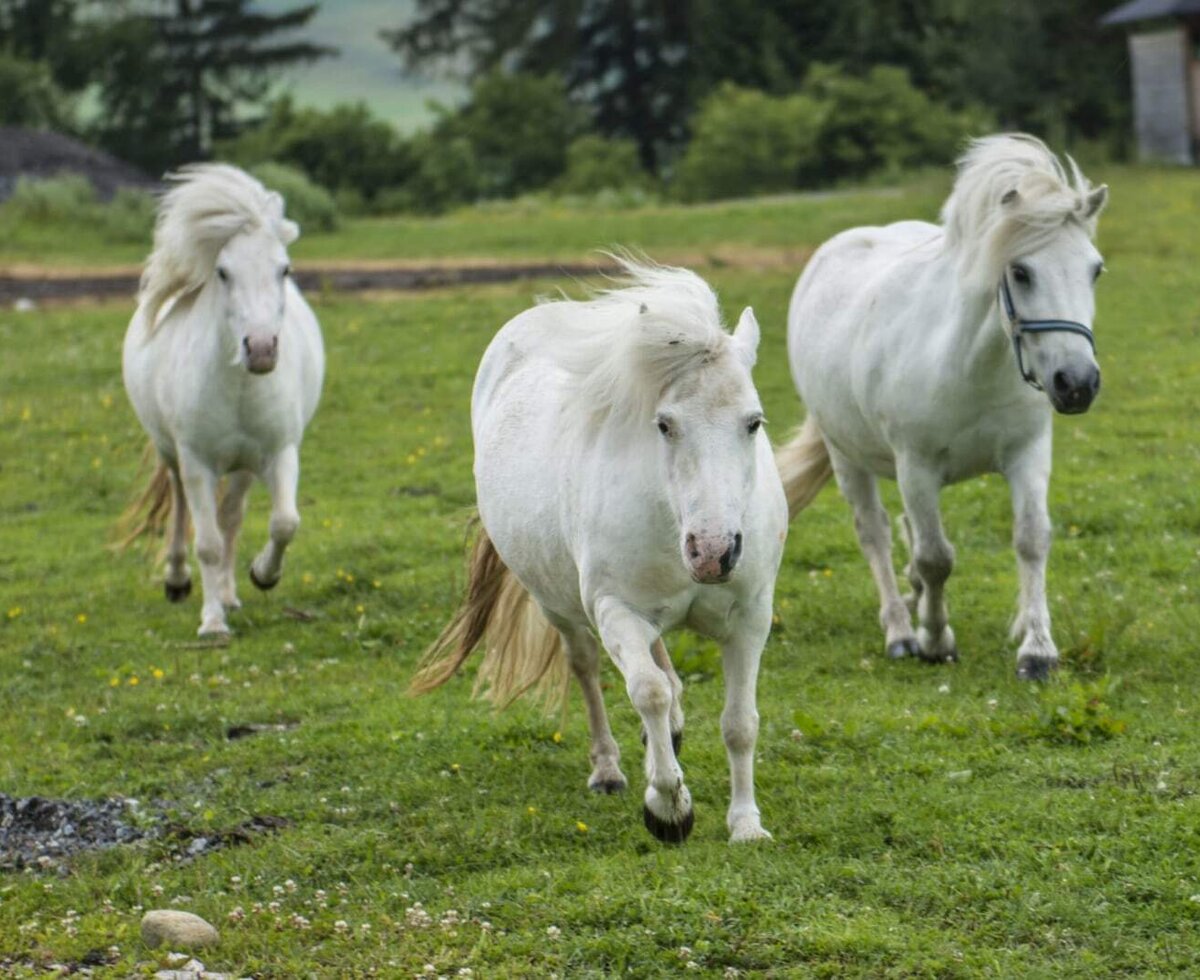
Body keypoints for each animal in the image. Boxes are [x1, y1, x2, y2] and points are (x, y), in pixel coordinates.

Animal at [121, 164, 324, 637]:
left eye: (284, 269)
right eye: (223, 272)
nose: (262, 349)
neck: (239, 387)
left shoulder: (280, 452)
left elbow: (284, 523)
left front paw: (262, 575)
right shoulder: (196, 462)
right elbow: (208, 543)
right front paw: (212, 623)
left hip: (244, 466)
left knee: (232, 516)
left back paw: (231, 594)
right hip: (172, 455)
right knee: (181, 509)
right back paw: (179, 581)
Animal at [413, 259, 787, 843]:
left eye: (753, 422)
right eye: (664, 424)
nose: (713, 552)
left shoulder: (750, 617)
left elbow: (739, 723)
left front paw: (746, 824)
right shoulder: (616, 610)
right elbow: (647, 692)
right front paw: (668, 810)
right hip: (558, 605)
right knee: (589, 667)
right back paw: (609, 769)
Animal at [776, 134, 1108, 681]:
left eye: (1095, 270)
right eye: (1021, 271)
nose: (1077, 383)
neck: (969, 363)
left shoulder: (1028, 454)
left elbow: (1031, 538)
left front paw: (1037, 649)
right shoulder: (917, 466)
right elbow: (936, 558)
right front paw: (935, 639)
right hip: (847, 456)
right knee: (875, 532)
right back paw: (899, 630)